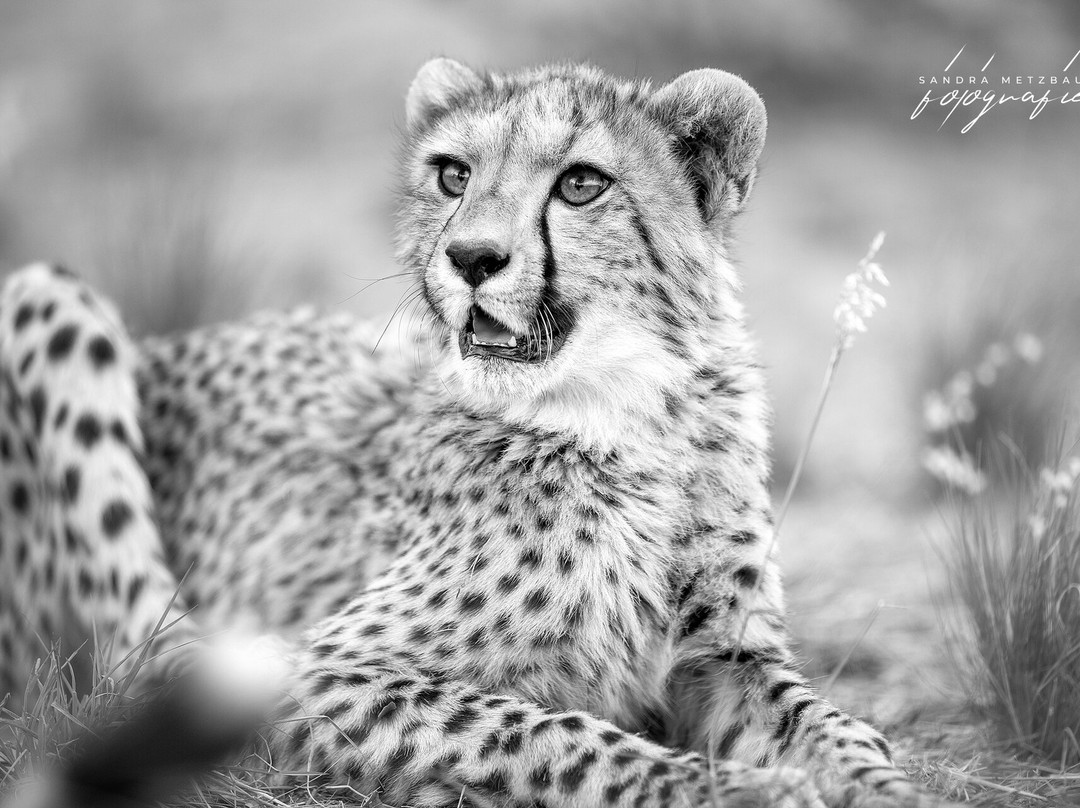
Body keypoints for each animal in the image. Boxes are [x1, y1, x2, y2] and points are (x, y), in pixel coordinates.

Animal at [0, 59, 944, 807]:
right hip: (46, 295)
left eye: (581, 184)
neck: (630, 417)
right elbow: (550, 733)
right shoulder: (315, 672)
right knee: (143, 659)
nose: (473, 258)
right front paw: (745, 791)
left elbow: (829, 724)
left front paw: (881, 785)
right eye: (453, 175)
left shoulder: (723, 656)